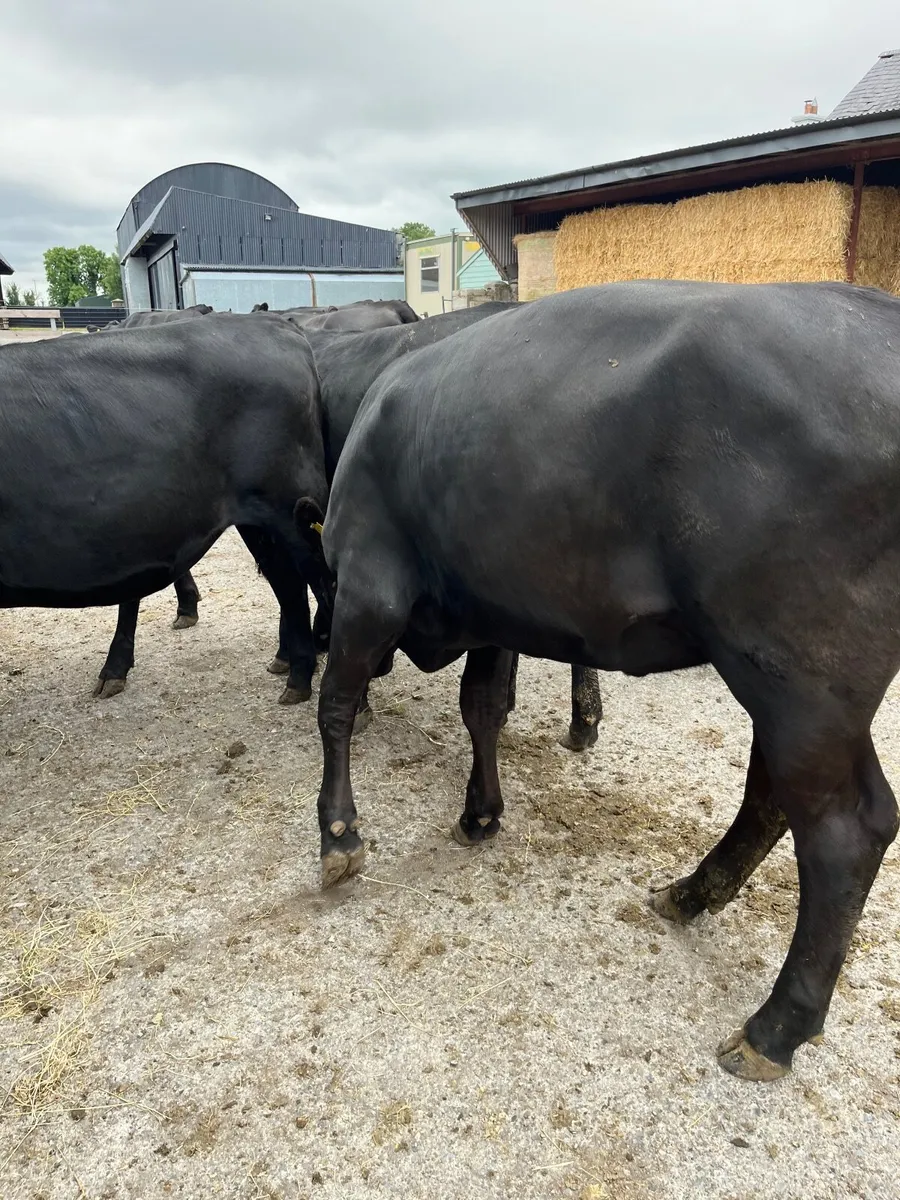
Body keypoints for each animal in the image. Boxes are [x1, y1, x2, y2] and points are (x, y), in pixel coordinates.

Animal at [0, 314, 330, 708]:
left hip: (291, 509)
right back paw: (294, 672)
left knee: (316, 580)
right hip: (260, 521)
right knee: (289, 584)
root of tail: (277, 323)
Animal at [306, 280, 900, 1082]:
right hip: (802, 690)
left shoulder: (370, 587)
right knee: (778, 799)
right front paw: (481, 813)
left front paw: (338, 835)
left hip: (799, 676)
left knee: (844, 832)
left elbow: (336, 704)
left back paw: (775, 1026)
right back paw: (690, 894)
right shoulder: (493, 608)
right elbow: (482, 707)